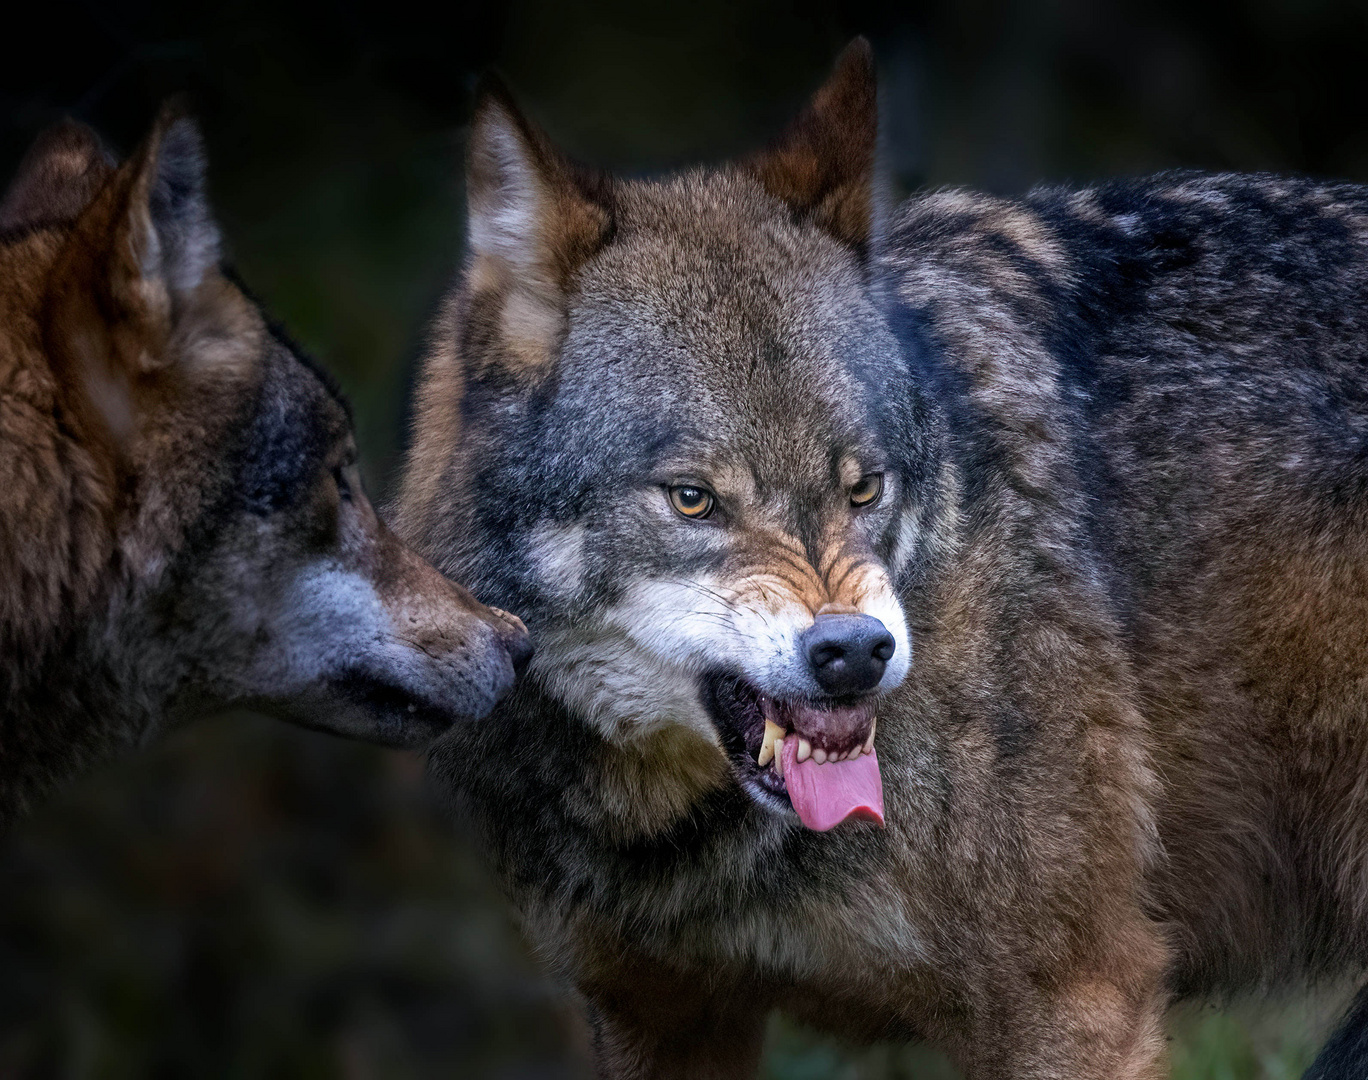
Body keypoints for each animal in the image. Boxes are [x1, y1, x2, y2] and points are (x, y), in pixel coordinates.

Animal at [393, 40, 1368, 1078]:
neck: (677, 836)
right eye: (693, 498)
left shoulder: (1076, 997)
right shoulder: (654, 1008)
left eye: (864, 488)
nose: (855, 652)